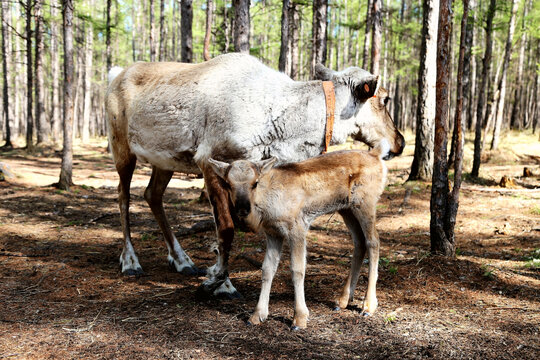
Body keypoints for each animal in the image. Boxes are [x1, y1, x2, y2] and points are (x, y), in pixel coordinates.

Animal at [209, 143, 390, 330]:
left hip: (366, 203)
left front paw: (299, 318)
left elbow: (297, 269)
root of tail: (377, 154)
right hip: (347, 209)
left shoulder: (297, 228)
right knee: (359, 242)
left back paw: (368, 306)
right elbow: (267, 269)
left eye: (255, 183)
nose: (243, 209)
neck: (267, 206)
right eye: (228, 184)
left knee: (373, 241)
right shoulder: (273, 233)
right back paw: (342, 301)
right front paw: (257, 315)